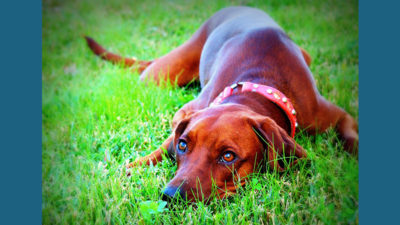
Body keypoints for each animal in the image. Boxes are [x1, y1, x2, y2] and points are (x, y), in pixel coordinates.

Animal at [85, 6, 360, 202]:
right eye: (183, 145)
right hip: (158, 75)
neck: (258, 86)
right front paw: (130, 168)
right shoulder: (185, 113)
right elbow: (161, 147)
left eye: (228, 156)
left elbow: (349, 135)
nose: (170, 196)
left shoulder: (335, 115)